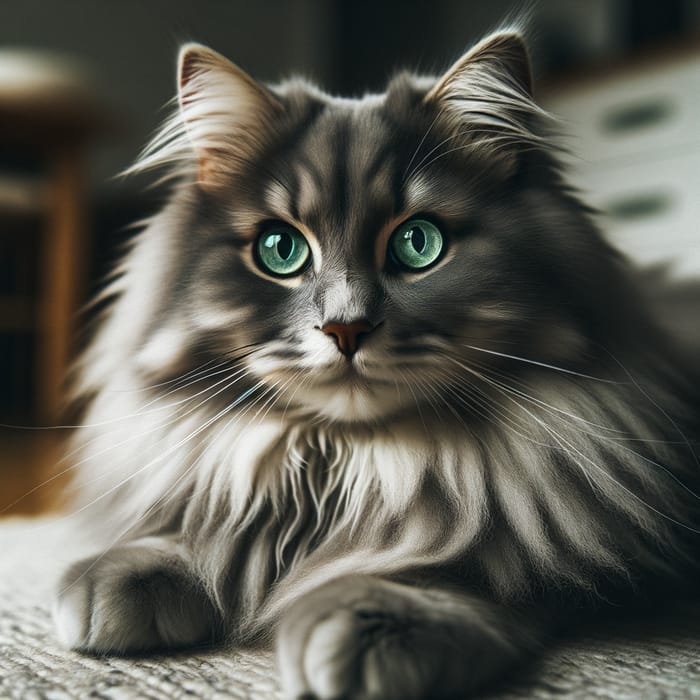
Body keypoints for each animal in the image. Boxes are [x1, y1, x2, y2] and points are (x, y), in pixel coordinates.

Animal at [53, 28, 700, 700]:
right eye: (279, 249)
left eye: (419, 243)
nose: (347, 327)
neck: (348, 465)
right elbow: (202, 523)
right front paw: (127, 576)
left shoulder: (564, 541)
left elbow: (464, 562)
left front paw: (363, 624)